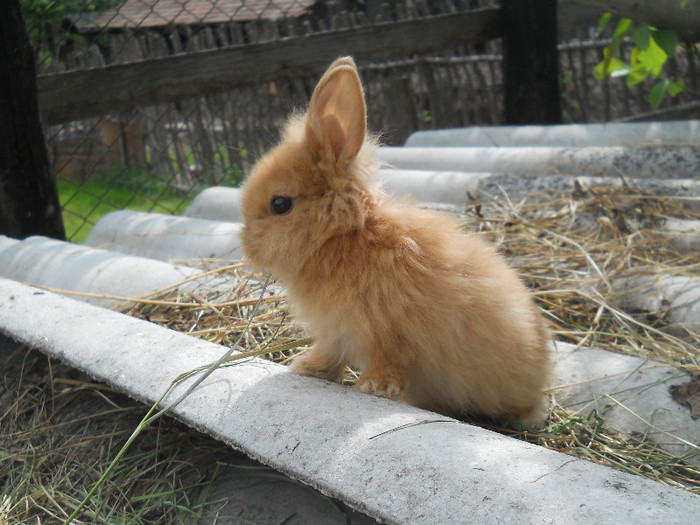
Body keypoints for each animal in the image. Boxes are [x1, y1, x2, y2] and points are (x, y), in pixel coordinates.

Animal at [241, 57, 552, 426]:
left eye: (280, 204)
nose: (246, 246)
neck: (348, 237)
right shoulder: (337, 332)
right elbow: (331, 355)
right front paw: (306, 367)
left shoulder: (387, 331)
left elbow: (388, 360)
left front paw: (374, 387)